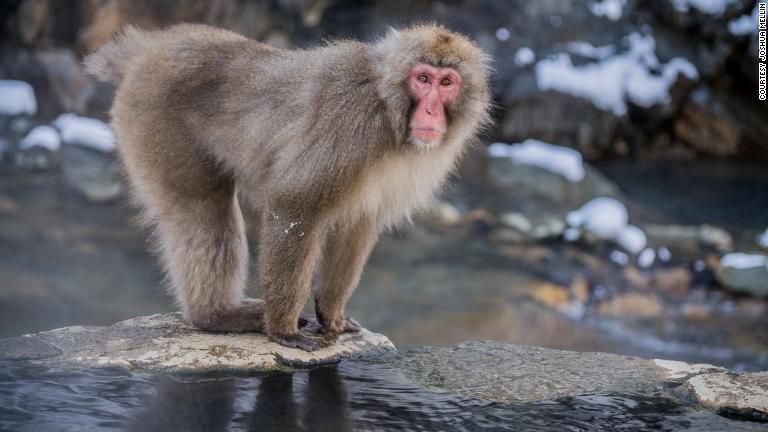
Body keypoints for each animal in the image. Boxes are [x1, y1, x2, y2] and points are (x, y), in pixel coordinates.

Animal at [85, 23, 492, 350]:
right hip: (154, 121)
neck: (388, 112)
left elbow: (357, 226)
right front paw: (282, 329)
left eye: (446, 82)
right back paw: (215, 315)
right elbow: (295, 206)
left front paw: (332, 315)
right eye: (422, 79)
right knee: (202, 210)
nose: (431, 112)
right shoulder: (350, 123)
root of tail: (149, 48)